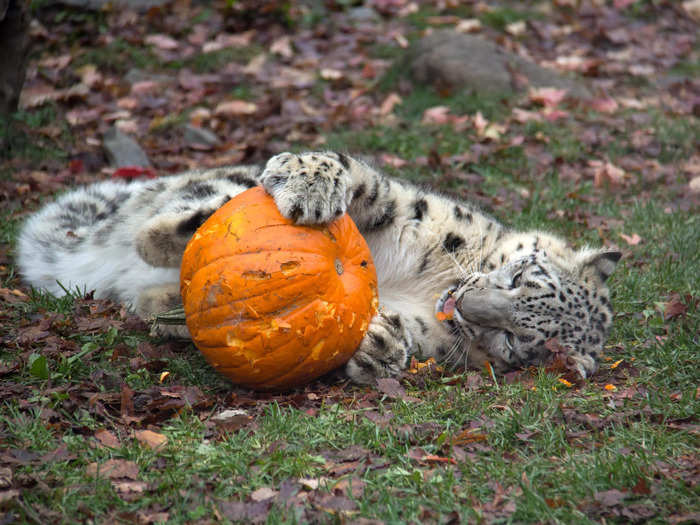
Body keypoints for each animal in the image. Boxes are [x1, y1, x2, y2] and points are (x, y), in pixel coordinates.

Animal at [16, 149, 620, 382]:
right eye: (519, 276)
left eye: (517, 340)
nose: (468, 304)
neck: (436, 281)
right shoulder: (417, 211)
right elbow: (363, 180)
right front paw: (311, 184)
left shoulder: (438, 336)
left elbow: (408, 338)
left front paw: (379, 345)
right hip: (201, 190)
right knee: (163, 225)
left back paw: (175, 314)